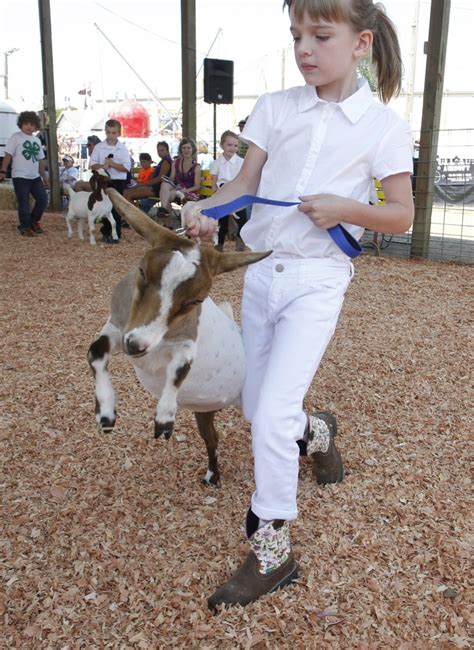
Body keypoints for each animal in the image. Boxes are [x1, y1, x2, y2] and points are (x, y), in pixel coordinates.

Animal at [86, 190, 270, 484]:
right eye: (142, 270)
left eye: (197, 299)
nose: (136, 345)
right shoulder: (119, 327)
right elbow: (96, 351)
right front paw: (105, 412)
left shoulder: (186, 342)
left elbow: (179, 369)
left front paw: (164, 418)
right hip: (204, 409)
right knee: (212, 437)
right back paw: (212, 475)